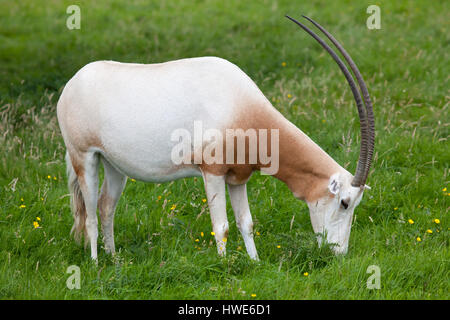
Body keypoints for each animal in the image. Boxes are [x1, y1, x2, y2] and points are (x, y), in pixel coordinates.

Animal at [58, 15, 374, 260]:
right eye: (345, 202)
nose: (339, 253)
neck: (242, 108)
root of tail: (71, 84)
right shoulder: (212, 172)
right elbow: (221, 226)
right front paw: (224, 266)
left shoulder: (238, 177)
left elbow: (246, 222)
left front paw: (255, 263)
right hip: (85, 158)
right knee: (89, 215)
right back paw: (96, 264)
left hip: (114, 166)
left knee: (105, 206)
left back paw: (114, 259)